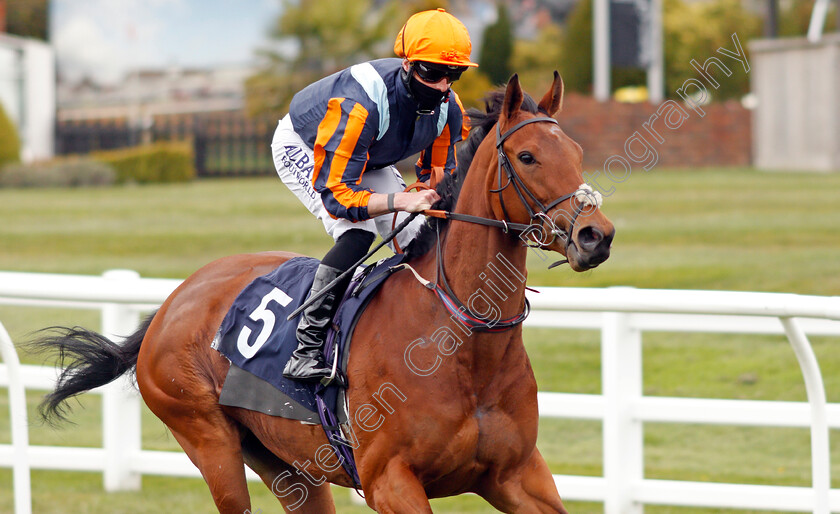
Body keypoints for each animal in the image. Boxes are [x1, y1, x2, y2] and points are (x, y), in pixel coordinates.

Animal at [37, 73, 612, 512]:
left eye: (578, 150)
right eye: (528, 156)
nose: (596, 235)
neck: (463, 341)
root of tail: (171, 304)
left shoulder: (518, 476)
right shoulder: (390, 482)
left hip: (289, 465)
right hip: (207, 439)